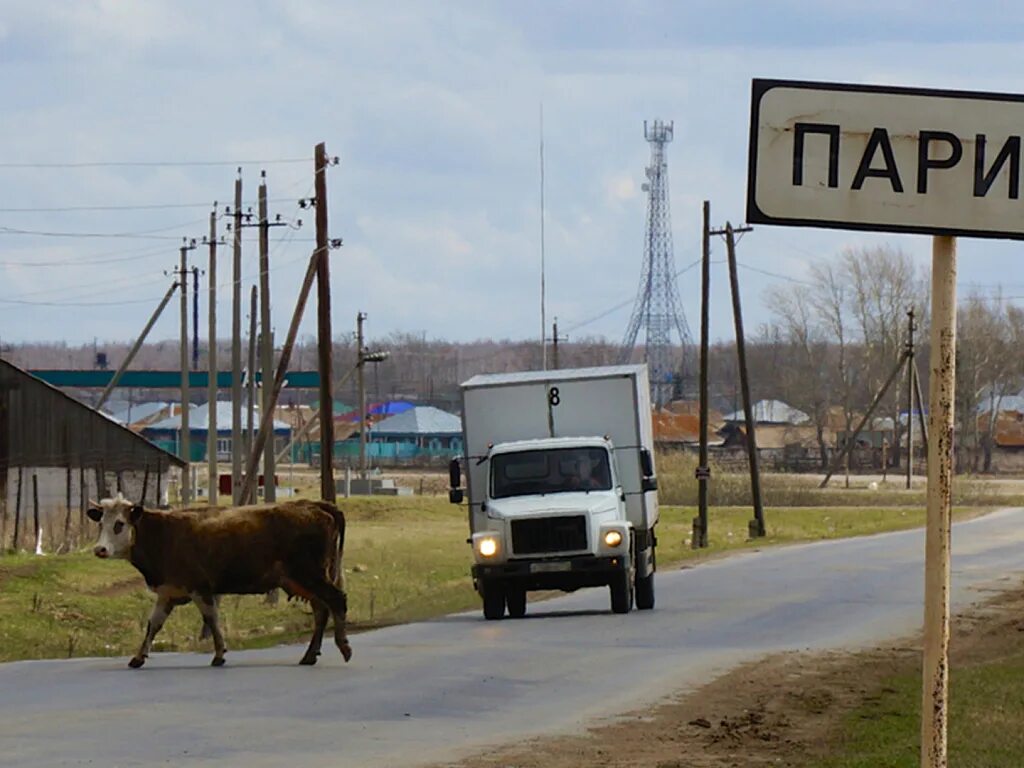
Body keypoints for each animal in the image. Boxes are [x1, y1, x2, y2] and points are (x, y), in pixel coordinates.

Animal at [88, 495, 352, 671]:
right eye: (101, 523)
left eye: (119, 524)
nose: (99, 549)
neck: (163, 534)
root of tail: (315, 505)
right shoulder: (167, 592)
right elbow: (153, 625)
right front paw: (138, 657)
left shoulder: (199, 588)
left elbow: (211, 618)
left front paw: (219, 654)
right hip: (304, 580)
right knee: (321, 610)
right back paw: (310, 655)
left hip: (311, 575)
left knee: (336, 600)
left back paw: (343, 646)